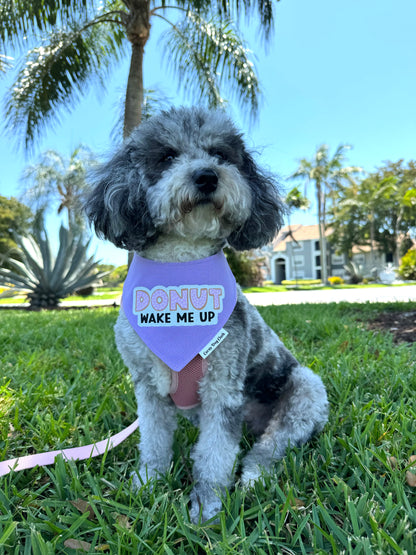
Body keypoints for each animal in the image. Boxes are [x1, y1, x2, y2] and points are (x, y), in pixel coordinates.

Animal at [86, 106, 330, 524]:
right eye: (167, 156)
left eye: (220, 154)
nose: (206, 175)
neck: (181, 271)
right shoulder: (148, 387)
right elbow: (154, 442)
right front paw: (146, 484)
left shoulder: (221, 386)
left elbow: (214, 454)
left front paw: (207, 505)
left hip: (305, 389)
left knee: (272, 446)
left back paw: (254, 476)